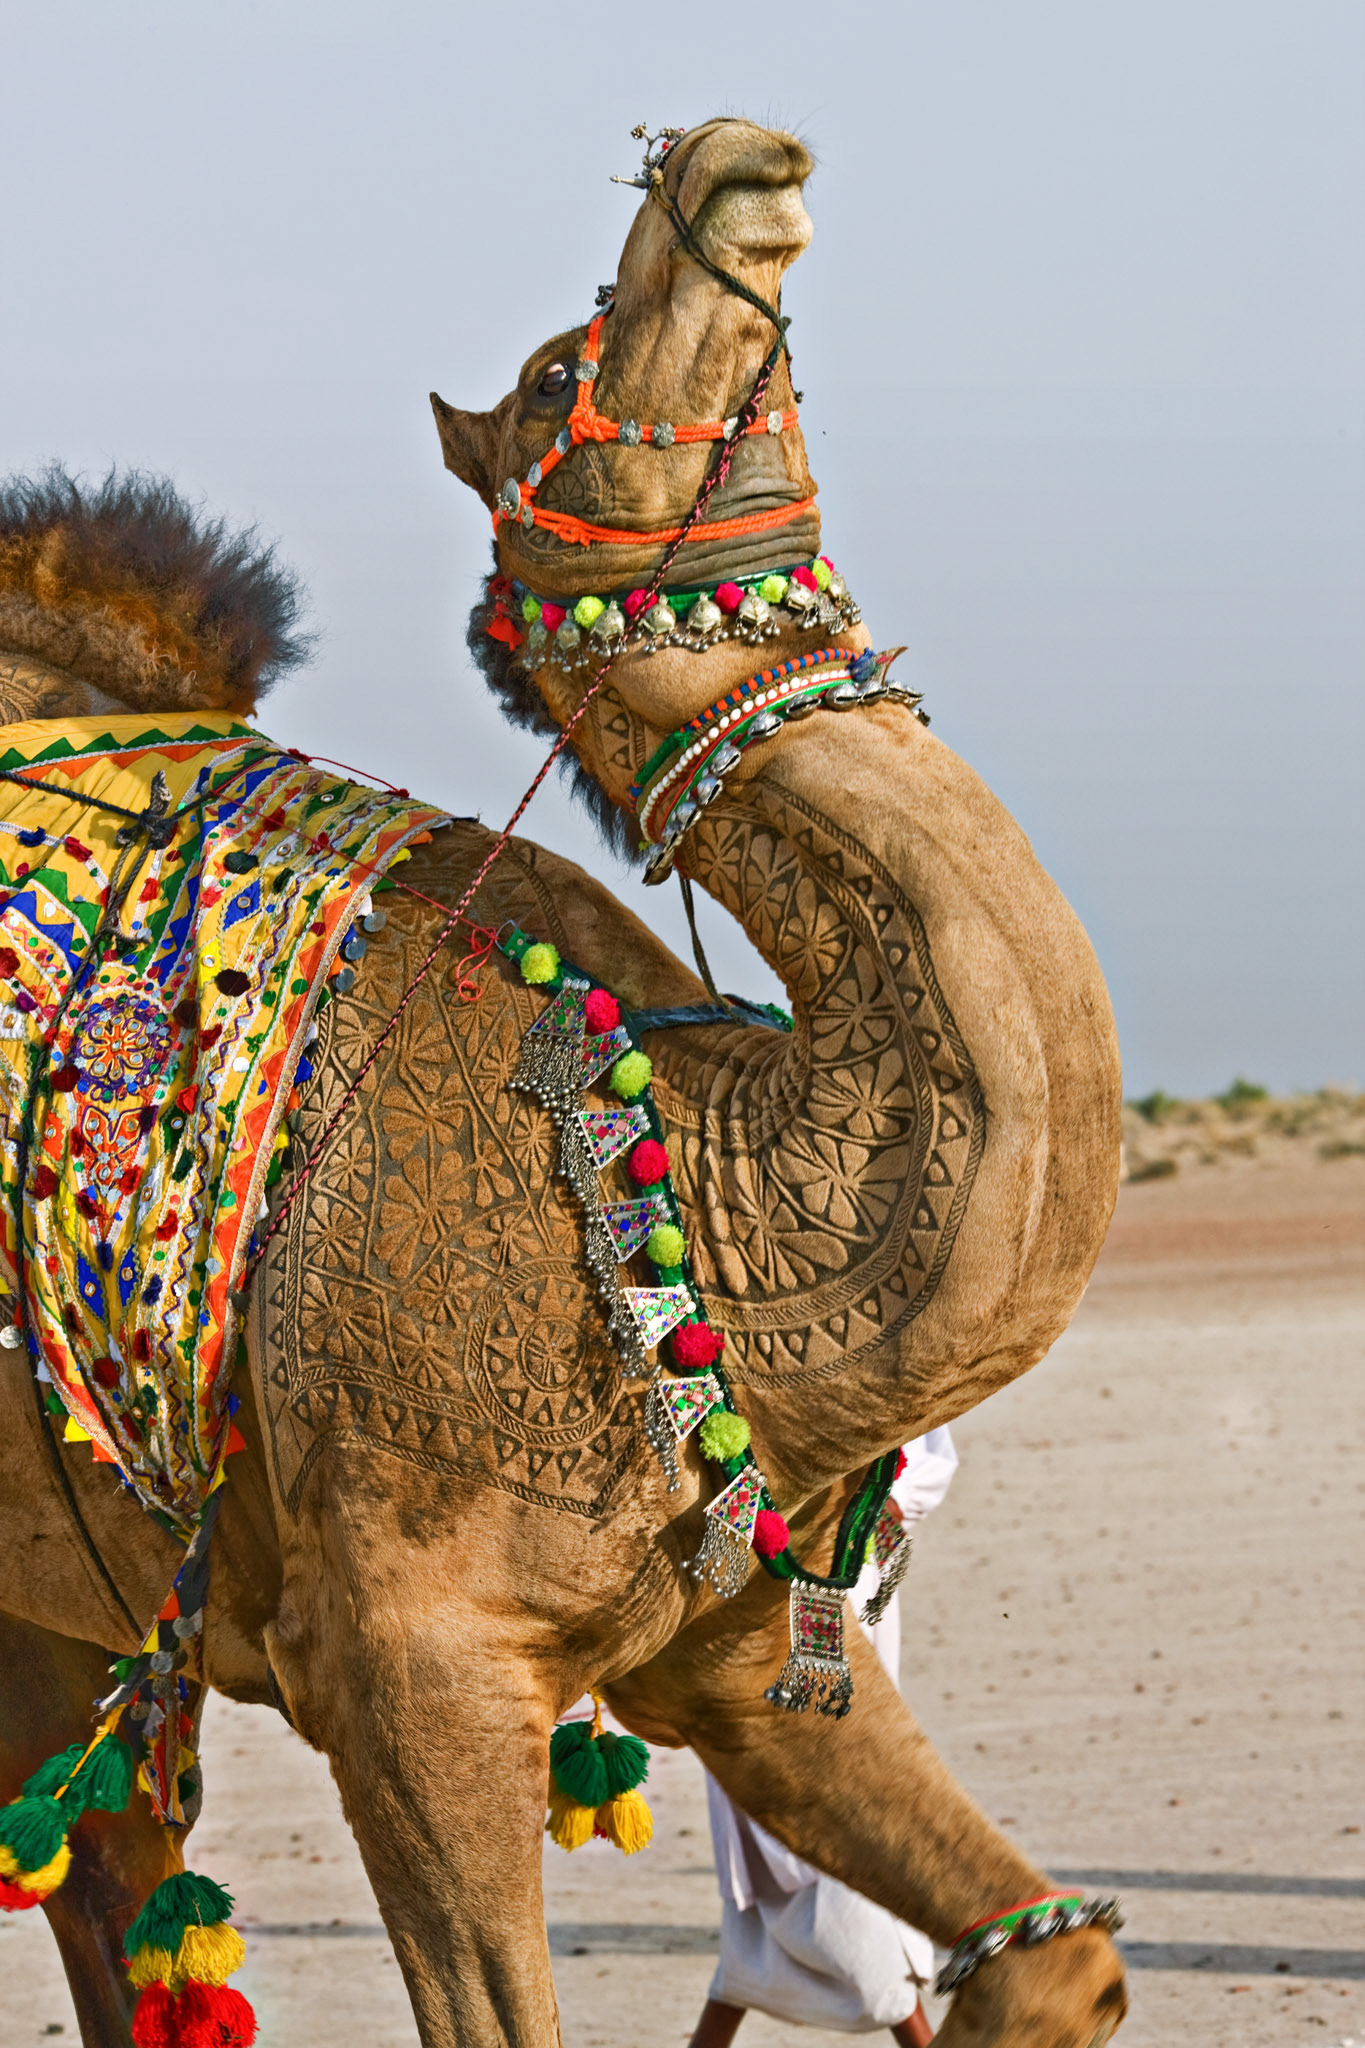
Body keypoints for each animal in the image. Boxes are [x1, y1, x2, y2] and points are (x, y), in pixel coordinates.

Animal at [0, 118, 1127, 2046]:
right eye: (546, 379)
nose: (728, 155)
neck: (683, 1190)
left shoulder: (742, 1641)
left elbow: (1056, 1960)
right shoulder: (407, 1664)